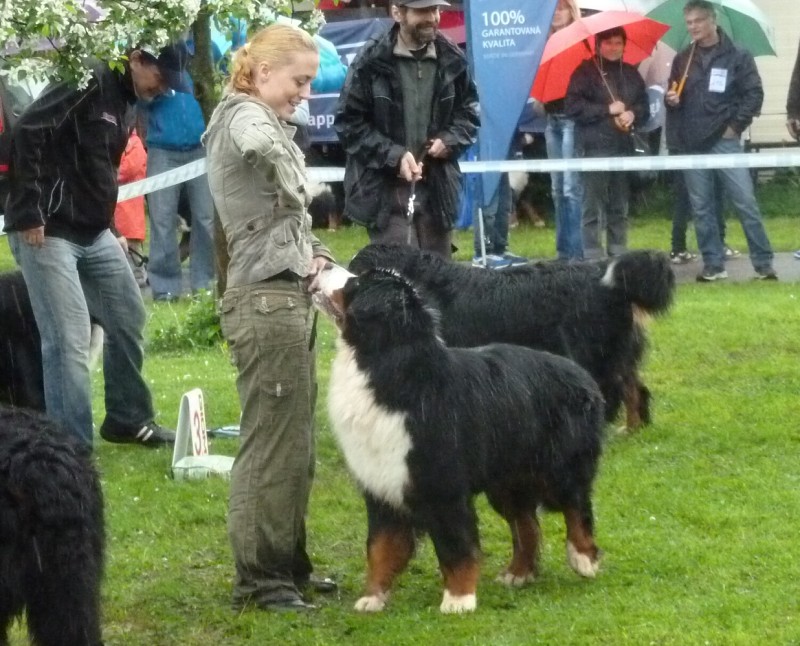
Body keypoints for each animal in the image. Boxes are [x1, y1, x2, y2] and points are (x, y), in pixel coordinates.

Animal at [310, 266, 604, 616]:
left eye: (356, 281)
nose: (323, 266)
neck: (384, 368)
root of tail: (580, 373)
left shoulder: (443, 486)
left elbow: (456, 547)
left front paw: (459, 599)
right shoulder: (382, 483)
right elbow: (380, 547)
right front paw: (373, 597)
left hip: (557, 466)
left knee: (576, 504)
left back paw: (583, 558)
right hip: (506, 480)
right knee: (527, 523)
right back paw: (519, 573)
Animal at [350, 246, 676, 432]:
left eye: (354, 273)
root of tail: (604, 273)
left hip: (593, 352)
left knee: (614, 390)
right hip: (617, 351)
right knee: (635, 389)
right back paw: (633, 429)